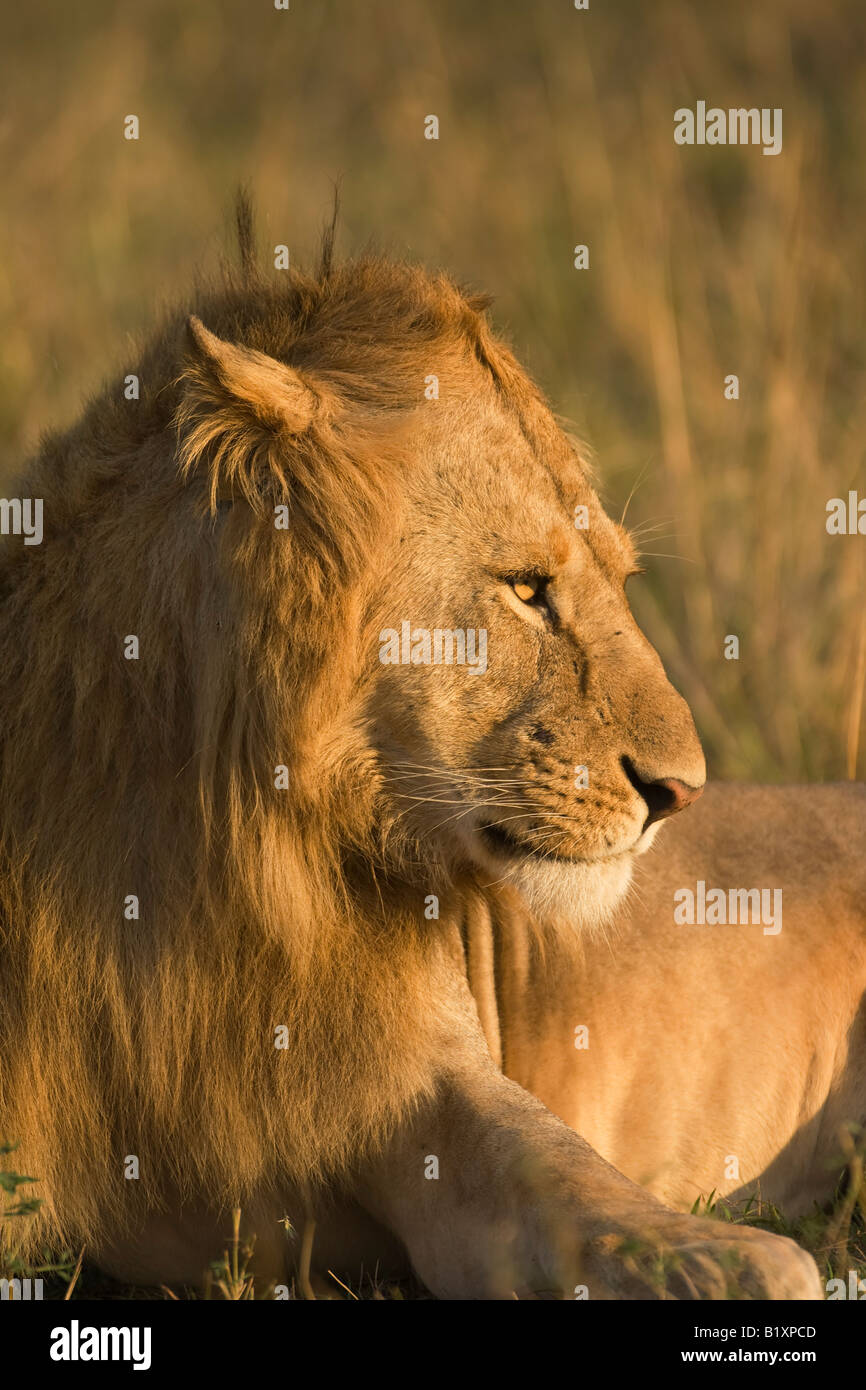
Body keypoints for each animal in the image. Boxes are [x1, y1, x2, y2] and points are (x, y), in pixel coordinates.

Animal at [0, 202, 828, 1289]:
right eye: (526, 587)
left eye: (616, 574)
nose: (679, 792)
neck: (218, 848)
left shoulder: (427, 1086)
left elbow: (587, 1196)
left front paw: (725, 1260)